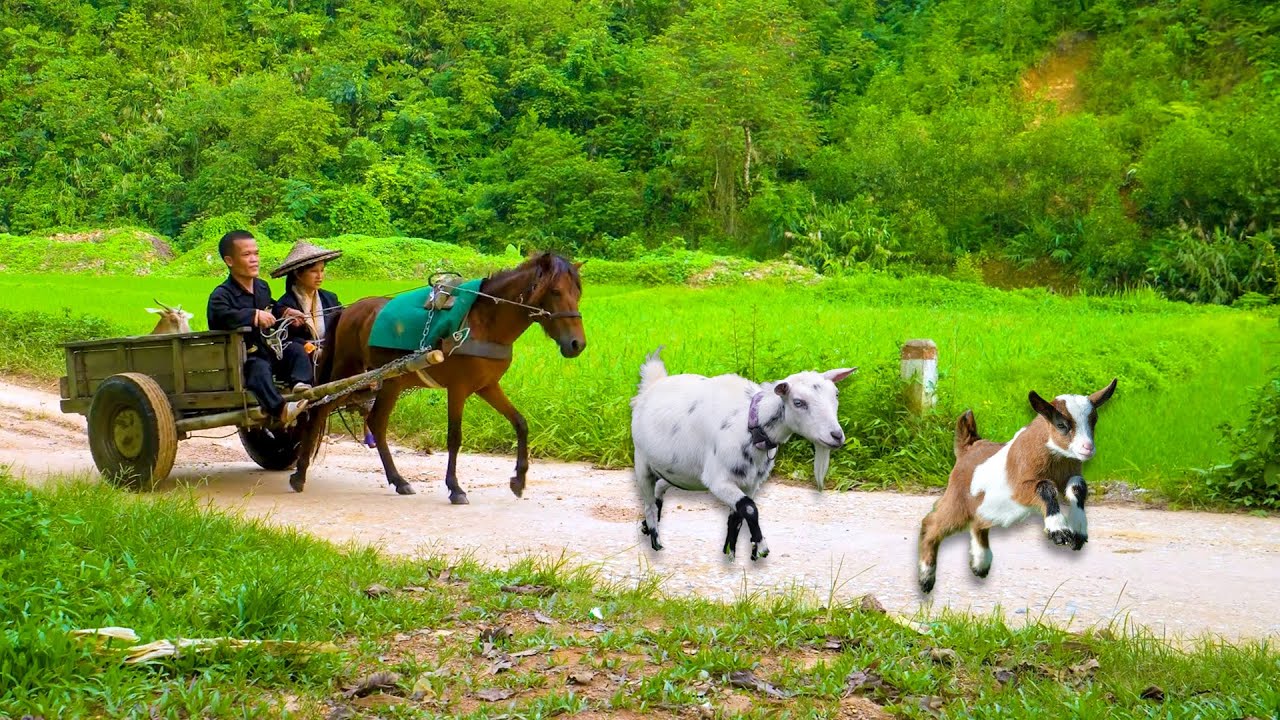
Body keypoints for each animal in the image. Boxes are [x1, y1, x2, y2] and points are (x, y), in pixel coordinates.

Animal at [290, 252, 586, 503]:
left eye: (578, 293)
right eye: (556, 291)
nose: (577, 344)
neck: (483, 323)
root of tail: (350, 309)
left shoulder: (487, 385)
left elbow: (520, 423)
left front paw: (519, 480)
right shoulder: (458, 387)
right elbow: (454, 437)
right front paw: (455, 488)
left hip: (390, 381)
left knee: (376, 423)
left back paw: (398, 480)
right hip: (347, 371)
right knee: (319, 409)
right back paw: (299, 474)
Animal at [630, 346, 856, 561]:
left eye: (836, 395)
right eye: (798, 402)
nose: (836, 436)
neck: (750, 424)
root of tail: (653, 382)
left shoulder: (750, 483)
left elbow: (736, 518)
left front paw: (731, 554)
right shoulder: (719, 480)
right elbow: (749, 508)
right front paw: (761, 548)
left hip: (681, 471)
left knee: (661, 486)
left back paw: (646, 526)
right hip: (642, 461)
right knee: (649, 503)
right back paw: (655, 540)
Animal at [917, 378, 1118, 593]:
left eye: (1094, 421)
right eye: (1061, 425)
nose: (1088, 448)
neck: (1056, 459)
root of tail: (968, 447)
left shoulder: (1070, 474)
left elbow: (1078, 486)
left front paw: (1079, 532)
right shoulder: (1019, 489)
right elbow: (1046, 487)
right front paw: (1058, 530)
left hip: (987, 508)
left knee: (977, 524)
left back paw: (980, 564)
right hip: (958, 500)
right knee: (932, 522)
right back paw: (926, 578)